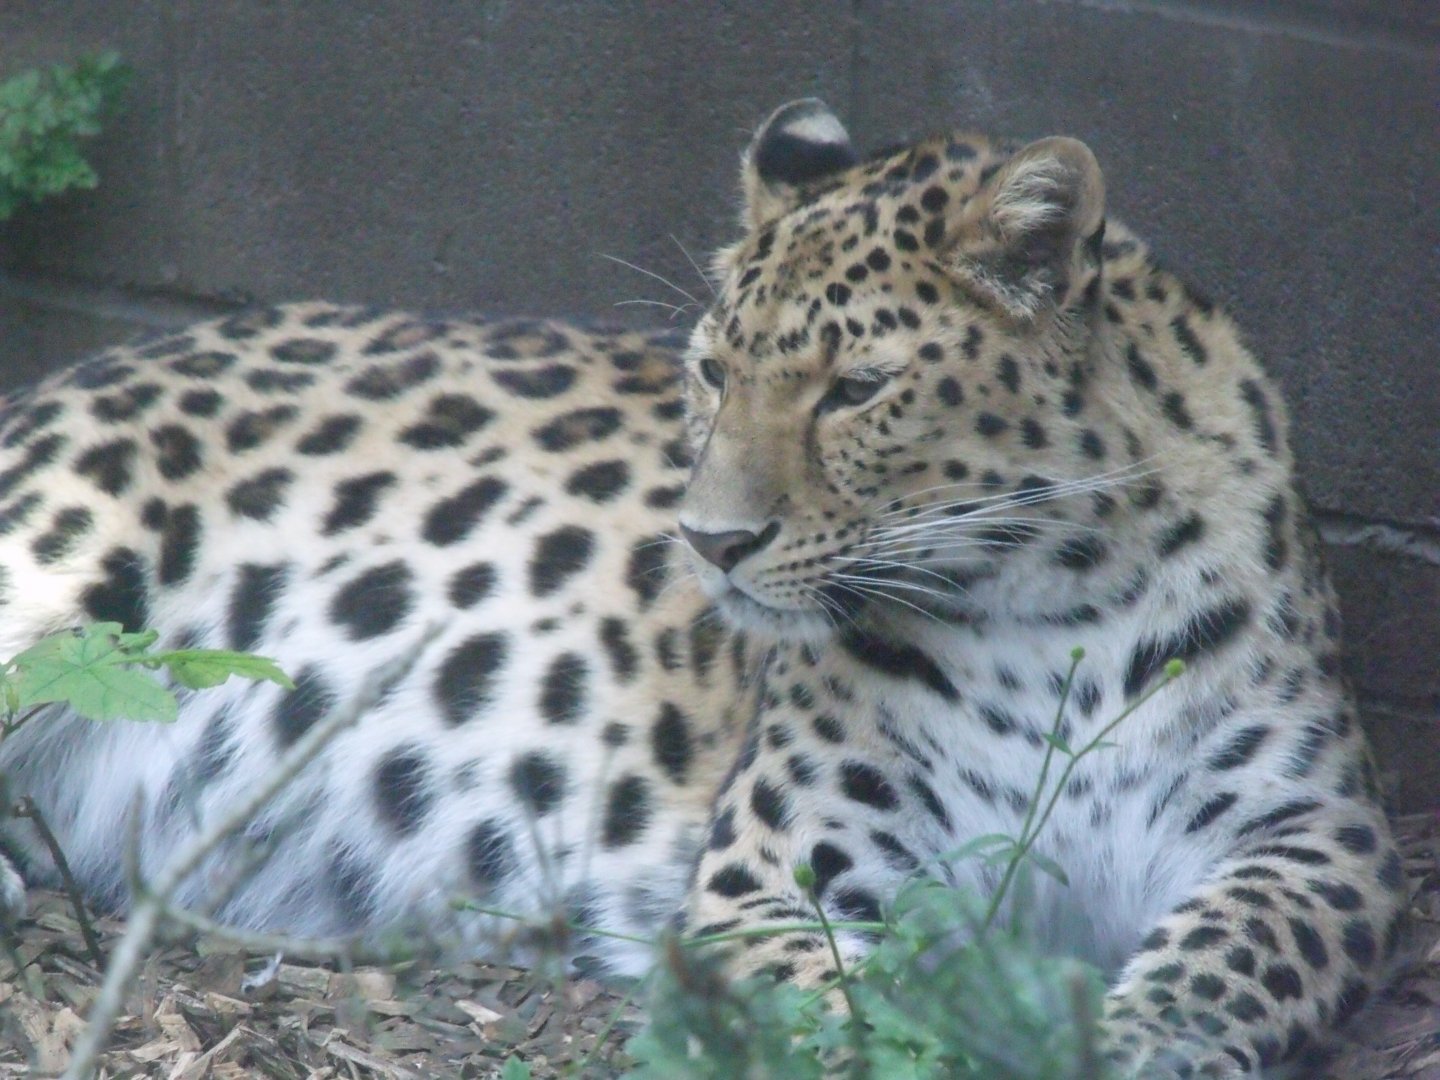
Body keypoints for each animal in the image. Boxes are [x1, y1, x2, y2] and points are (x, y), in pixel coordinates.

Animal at [0, 99, 1404, 1077]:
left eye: (856, 388)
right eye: (715, 371)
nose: (708, 540)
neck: (1050, 597)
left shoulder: (1318, 841)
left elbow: (1223, 961)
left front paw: (1135, 1039)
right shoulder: (771, 879)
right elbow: (850, 1019)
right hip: (56, 564)